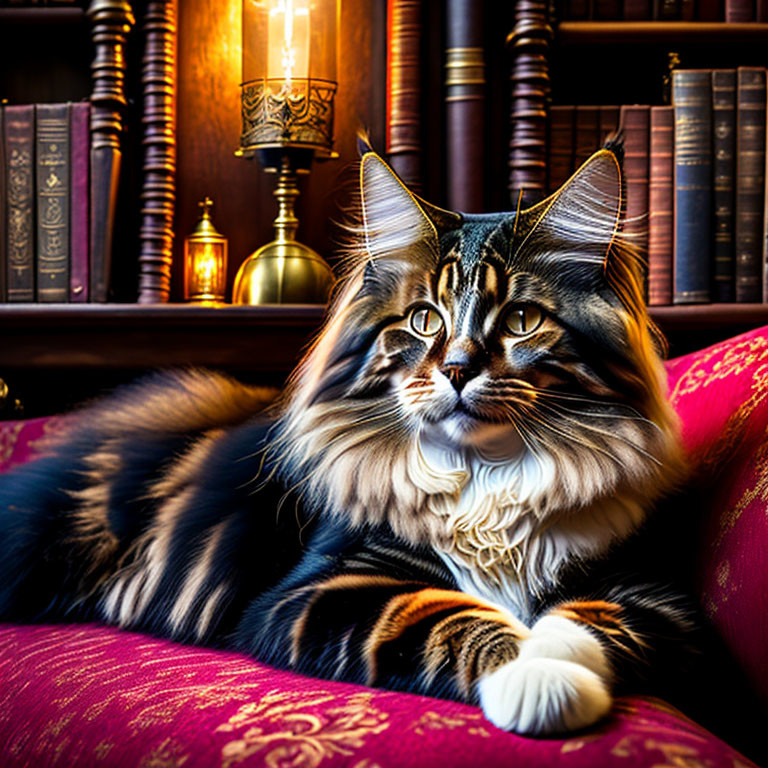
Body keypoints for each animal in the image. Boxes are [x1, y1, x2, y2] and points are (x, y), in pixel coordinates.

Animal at [1, 146, 696, 736]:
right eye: (424, 320)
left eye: (522, 321)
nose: (457, 369)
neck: (484, 475)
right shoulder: (318, 590)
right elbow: (448, 615)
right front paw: (532, 682)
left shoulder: (651, 598)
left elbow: (584, 625)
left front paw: (548, 671)